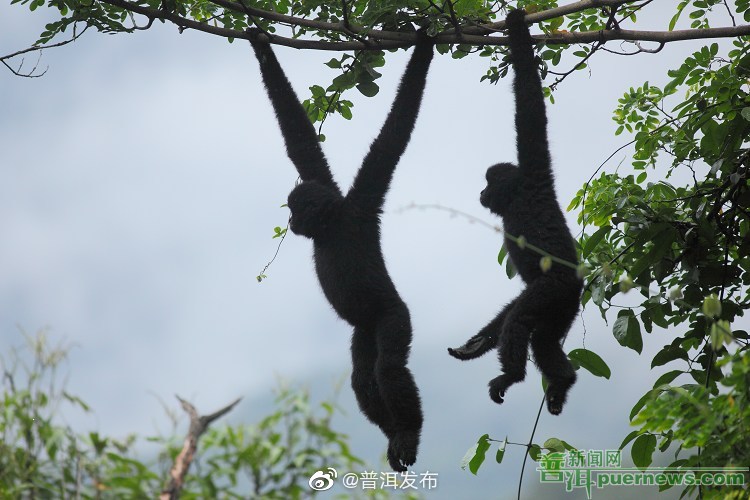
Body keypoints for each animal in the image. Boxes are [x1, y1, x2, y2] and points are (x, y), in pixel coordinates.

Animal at [249, 31, 434, 471]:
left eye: (296, 210)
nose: (292, 223)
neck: (331, 227)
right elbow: (301, 142)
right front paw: (259, 42)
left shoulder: (361, 207)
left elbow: (391, 139)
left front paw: (425, 44)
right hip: (363, 331)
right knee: (363, 378)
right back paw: (392, 434)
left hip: (392, 316)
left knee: (389, 369)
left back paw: (408, 433)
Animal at [447, 10, 583, 416]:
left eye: (489, 182)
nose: (480, 192)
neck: (517, 198)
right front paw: (473, 345)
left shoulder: (536, 173)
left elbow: (530, 108)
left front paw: (517, 26)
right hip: (563, 307)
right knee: (543, 338)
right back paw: (562, 382)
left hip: (554, 289)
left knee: (521, 320)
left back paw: (512, 376)